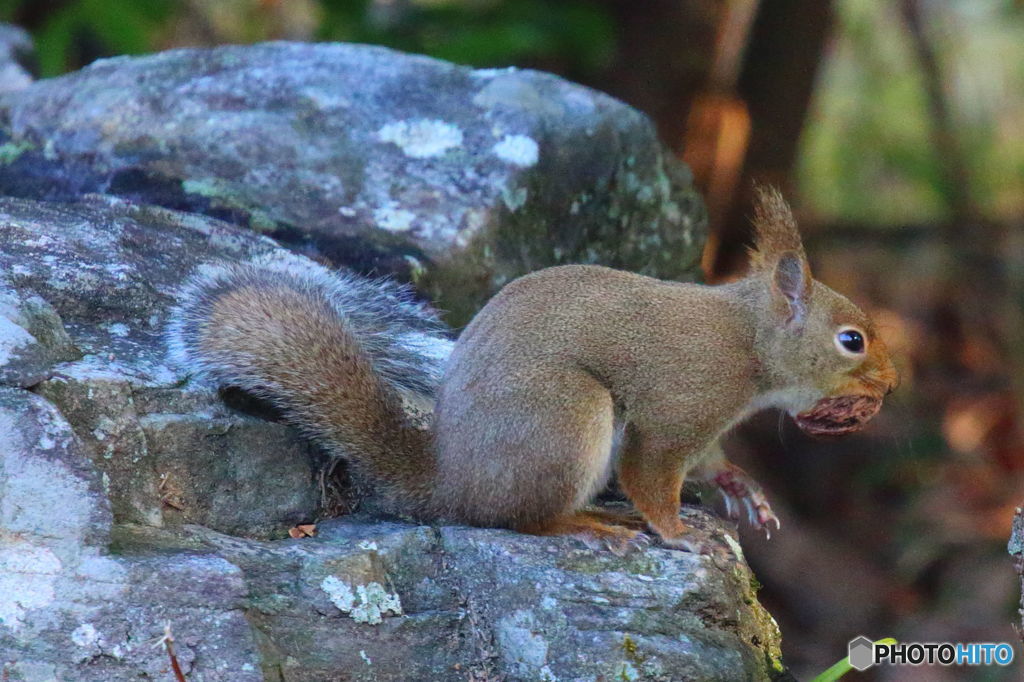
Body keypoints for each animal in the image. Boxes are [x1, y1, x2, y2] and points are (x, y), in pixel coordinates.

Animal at [167, 187, 897, 552]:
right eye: (852, 340)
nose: (890, 385)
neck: (749, 340)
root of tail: (450, 483)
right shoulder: (683, 403)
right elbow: (652, 473)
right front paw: (678, 533)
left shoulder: (707, 424)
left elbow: (711, 462)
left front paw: (741, 488)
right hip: (565, 415)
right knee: (520, 520)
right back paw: (585, 523)